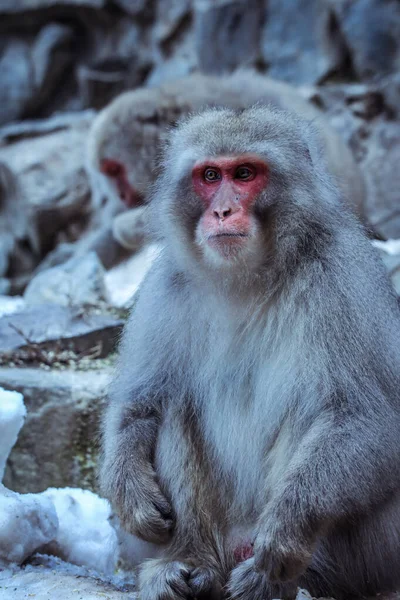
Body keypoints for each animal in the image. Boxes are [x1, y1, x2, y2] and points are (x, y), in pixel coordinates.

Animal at [99, 108, 400, 600]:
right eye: (209, 176)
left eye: (244, 174)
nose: (222, 210)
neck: (246, 276)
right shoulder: (167, 286)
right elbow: (140, 403)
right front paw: (130, 492)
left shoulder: (342, 278)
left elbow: (365, 419)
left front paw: (285, 533)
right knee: (172, 406)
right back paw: (188, 565)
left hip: (371, 552)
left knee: (309, 410)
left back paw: (273, 580)